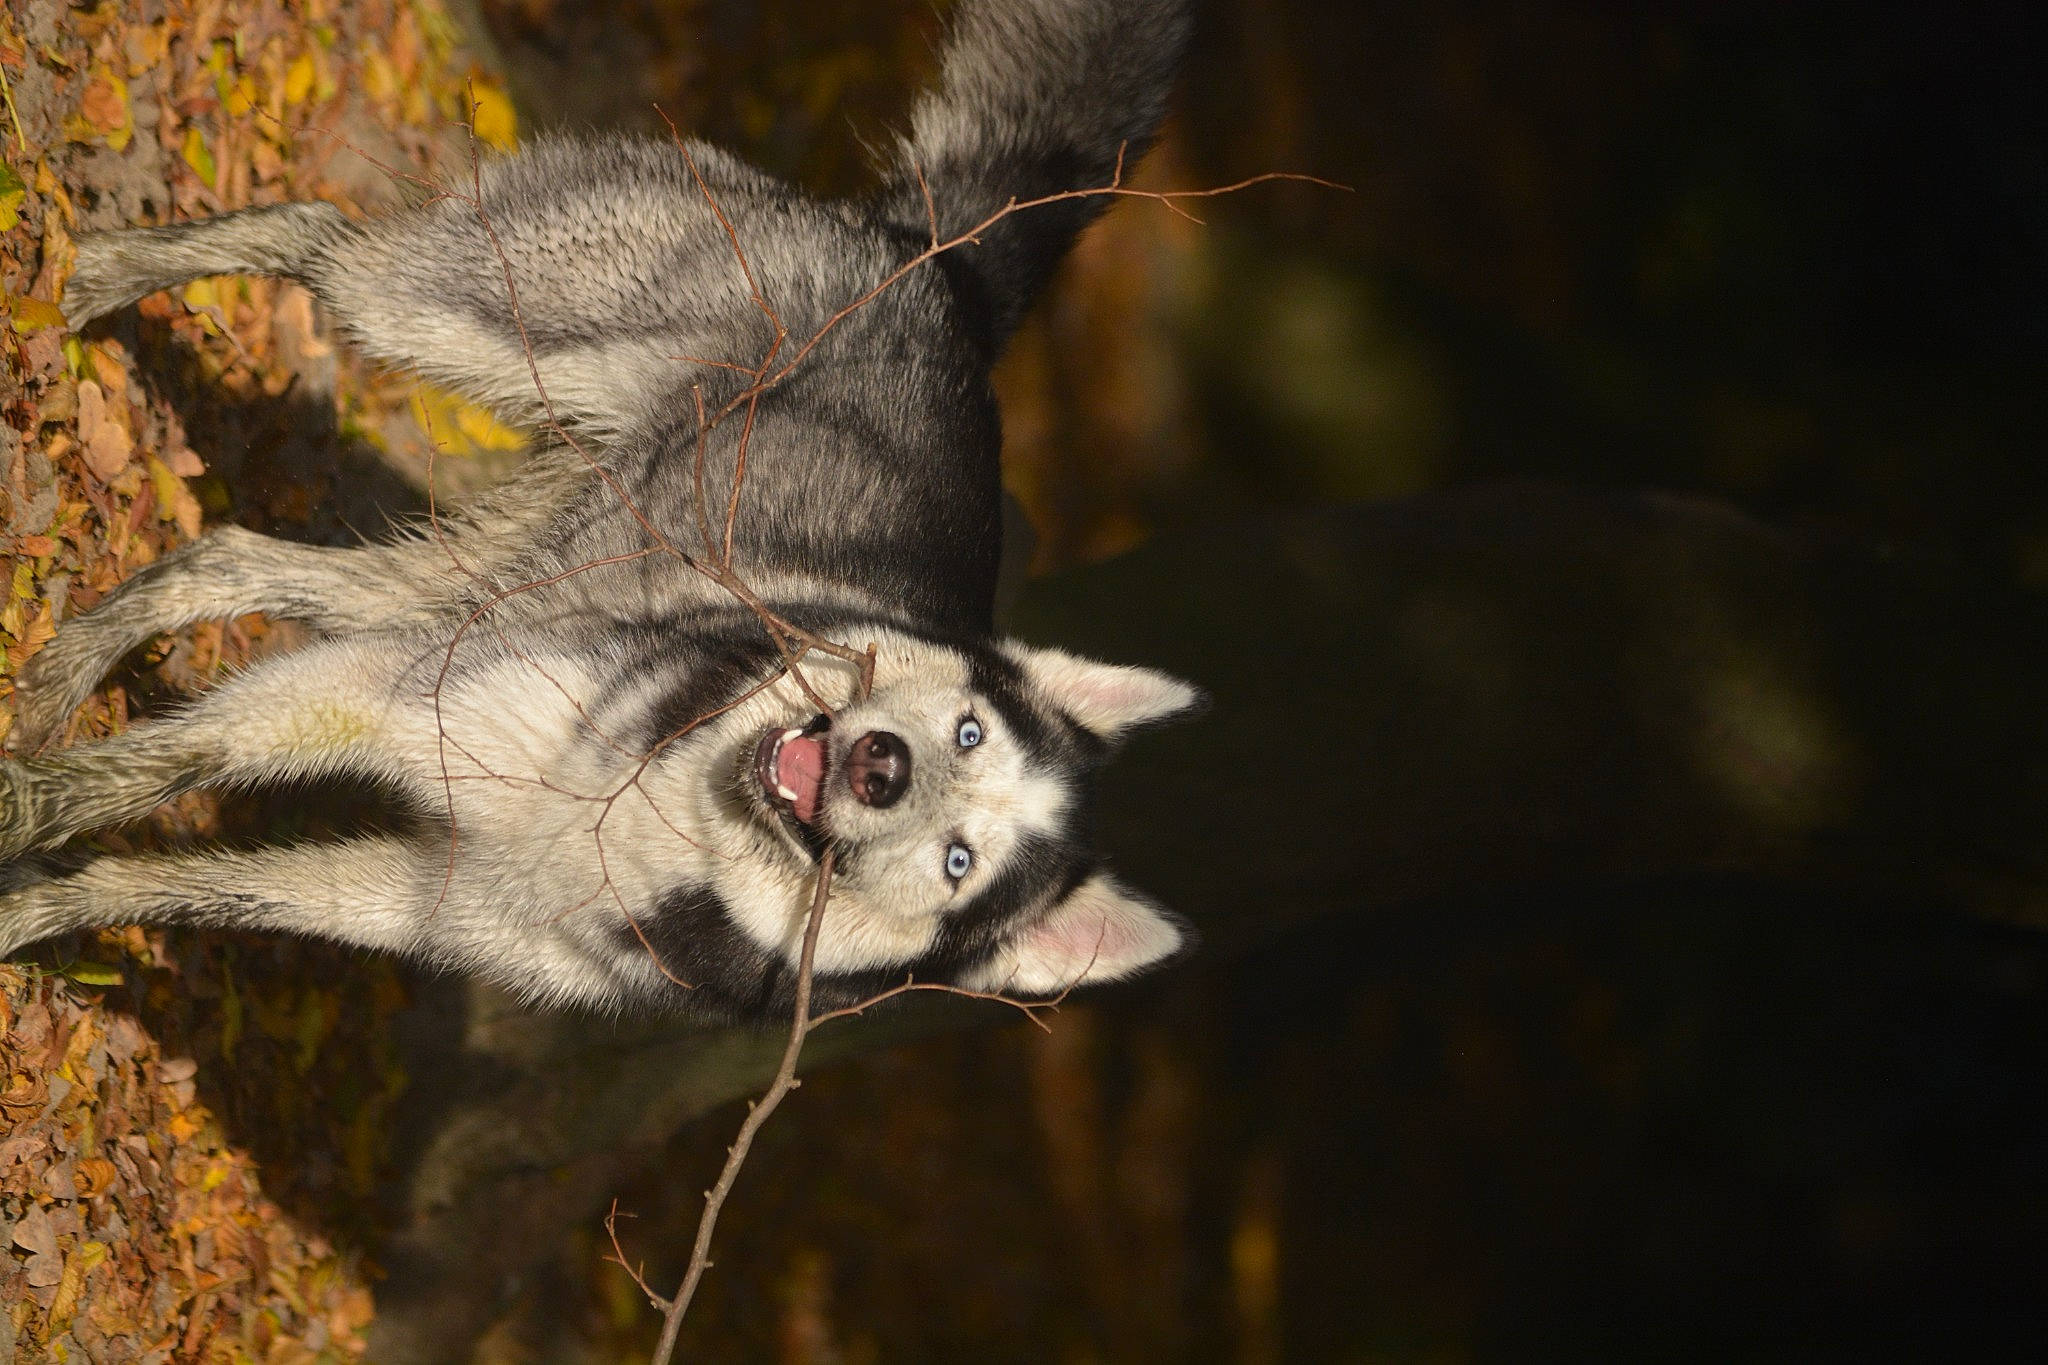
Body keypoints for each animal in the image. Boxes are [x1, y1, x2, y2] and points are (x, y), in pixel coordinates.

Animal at [0, 0, 1201, 1018]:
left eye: (959, 860)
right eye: (964, 727)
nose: (879, 764)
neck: (677, 818)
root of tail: (943, 277)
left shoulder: (421, 886)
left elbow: (181, 884)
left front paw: (42, 902)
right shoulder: (380, 694)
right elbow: (150, 770)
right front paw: (24, 808)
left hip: (486, 571)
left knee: (233, 560)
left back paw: (70, 666)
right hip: (454, 319)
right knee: (315, 233)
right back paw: (85, 277)